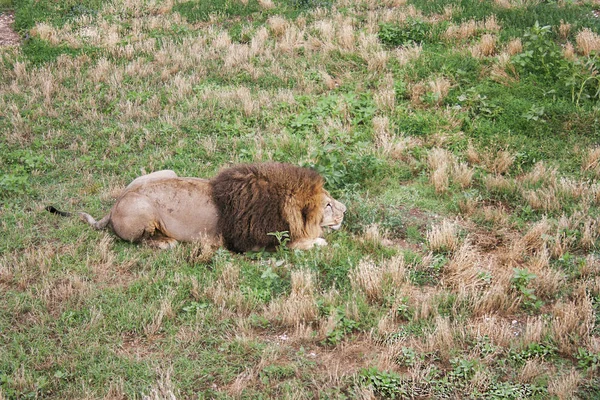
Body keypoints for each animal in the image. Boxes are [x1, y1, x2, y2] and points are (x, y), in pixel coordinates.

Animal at [48, 162, 346, 250]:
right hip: (143, 212)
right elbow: (300, 244)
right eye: (328, 205)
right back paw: (166, 242)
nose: (345, 210)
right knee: (142, 241)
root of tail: (114, 205)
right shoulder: (255, 243)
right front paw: (318, 240)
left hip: (166, 171)